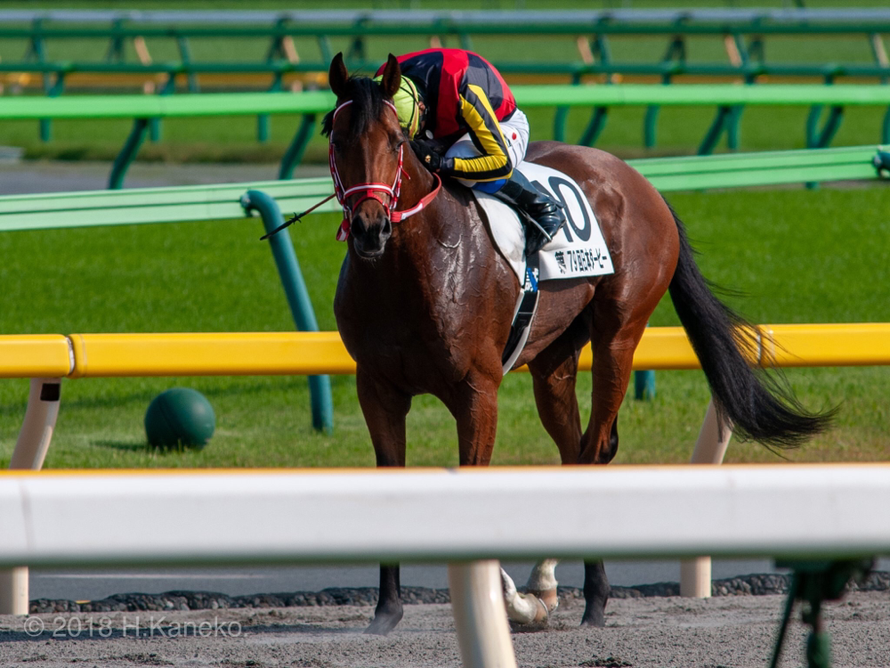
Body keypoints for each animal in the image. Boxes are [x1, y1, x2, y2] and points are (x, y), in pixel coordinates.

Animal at [326, 54, 832, 636]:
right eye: (337, 136)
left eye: (394, 140)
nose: (369, 228)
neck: (413, 267)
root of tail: (639, 181)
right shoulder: (377, 387)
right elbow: (389, 478)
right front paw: (386, 611)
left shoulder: (478, 390)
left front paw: (502, 598)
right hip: (553, 357)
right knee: (573, 450)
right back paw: (546, 584)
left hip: (619, 333)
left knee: (594, 450)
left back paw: (588, 597)